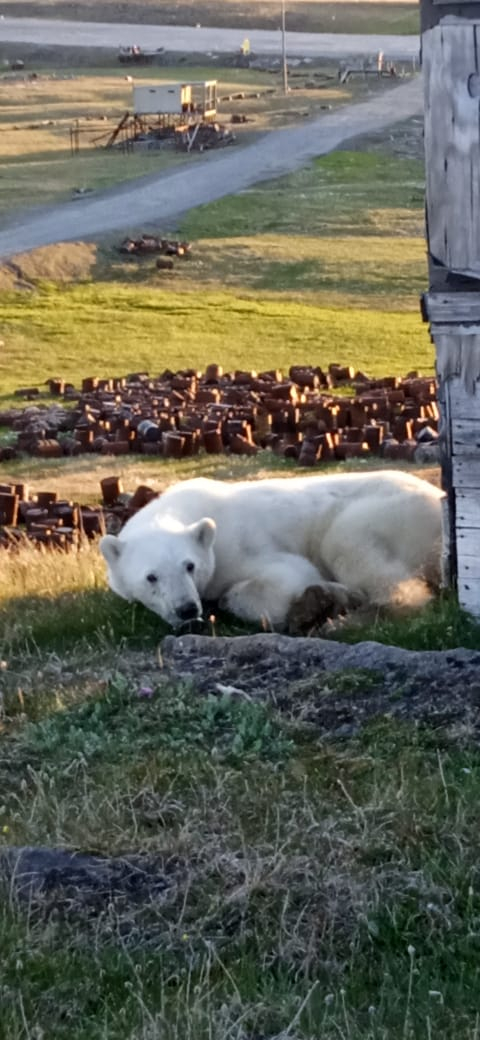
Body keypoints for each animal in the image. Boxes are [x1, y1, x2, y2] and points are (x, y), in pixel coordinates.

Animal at [99, 470, 444, 628]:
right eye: (151, 577)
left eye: (189, 565)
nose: (187, 609)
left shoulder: (238, 546)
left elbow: (287, 575)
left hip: (387, 513)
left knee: (350, 547)